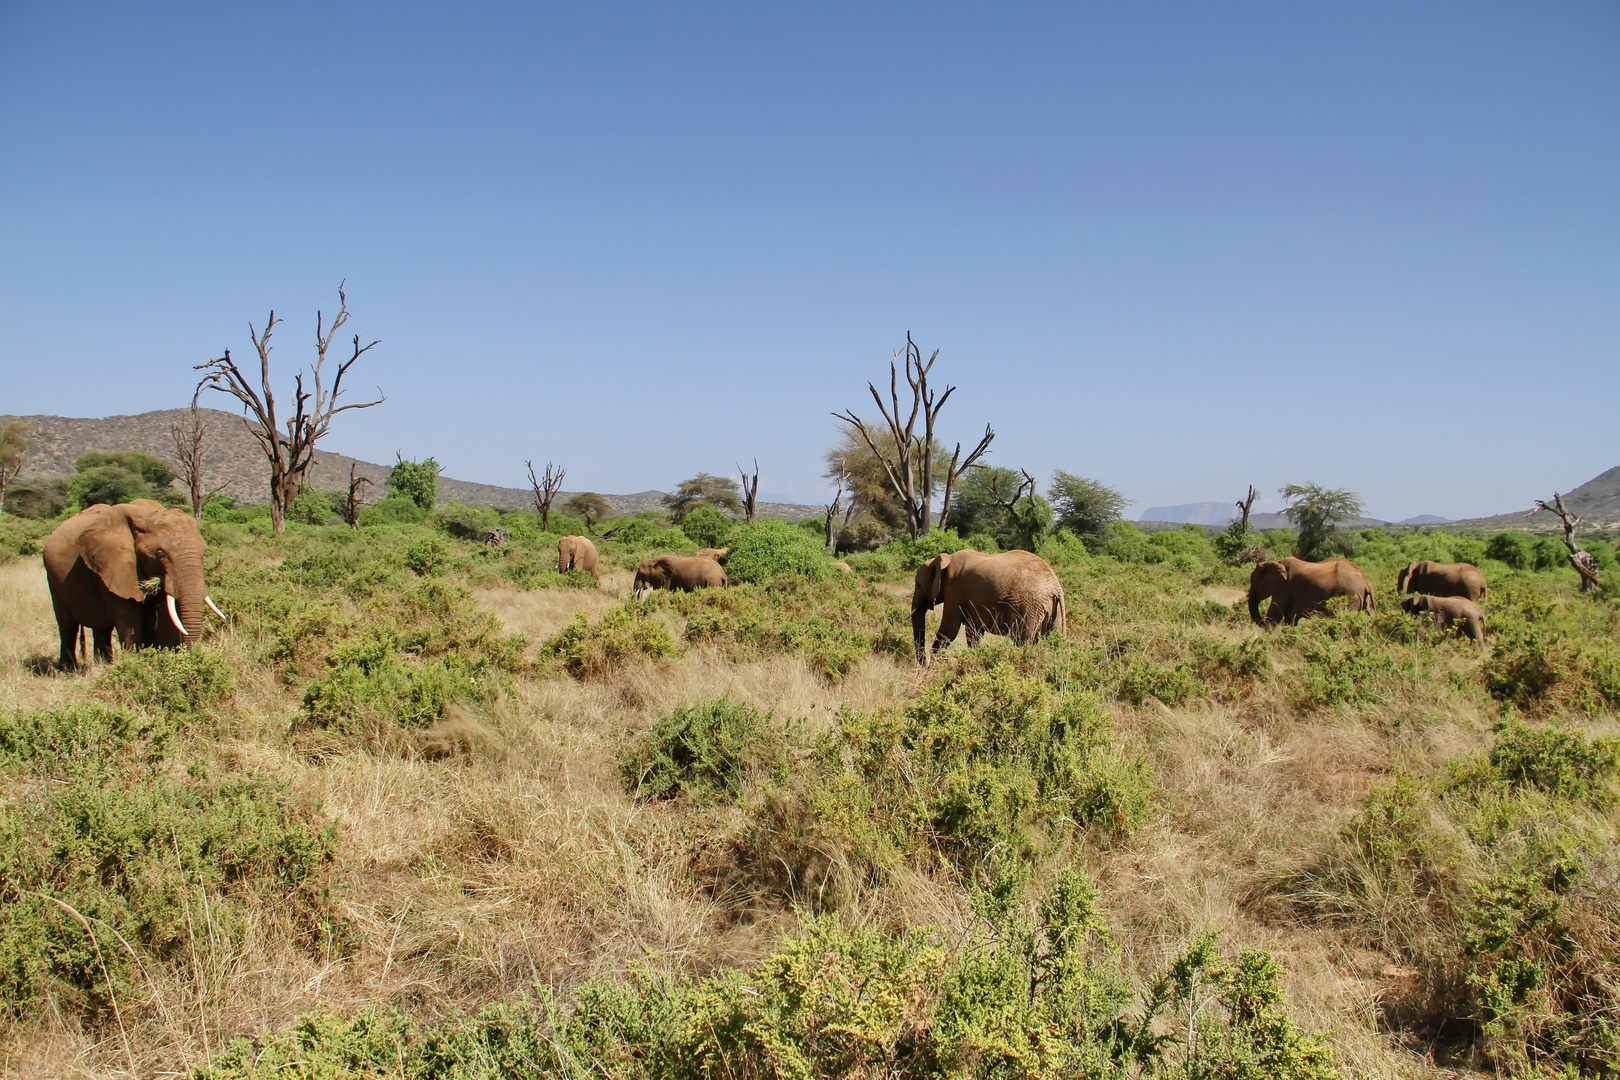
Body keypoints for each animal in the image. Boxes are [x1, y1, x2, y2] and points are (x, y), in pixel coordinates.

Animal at [43, 498, 225, 667]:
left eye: (204, 552)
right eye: (160, 554)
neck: (148, 515)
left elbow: (165, 619)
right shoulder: (116, 568)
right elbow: (130, 621)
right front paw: (137, 663)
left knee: (101, 628)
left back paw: (103, 665)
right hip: (53, 580)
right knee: (67, 626)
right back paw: (69, 669)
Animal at [913, 553, 1062, 663]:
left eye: (918, 584)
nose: (923, 665)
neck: (946, 560)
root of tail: (1055, 587)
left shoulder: (954, 591)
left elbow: (949, 630)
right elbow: (973, 633)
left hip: (1028, 608)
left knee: (1022, 641)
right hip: (1053, 611)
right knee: (1052, 643)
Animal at [1244, 557, 1373, 625]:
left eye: (1254, 581)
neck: (1278, 563)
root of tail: (1366, 582)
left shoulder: (1284, 588)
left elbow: (1274, 615)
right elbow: (1288, 617)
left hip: (1350, 595)